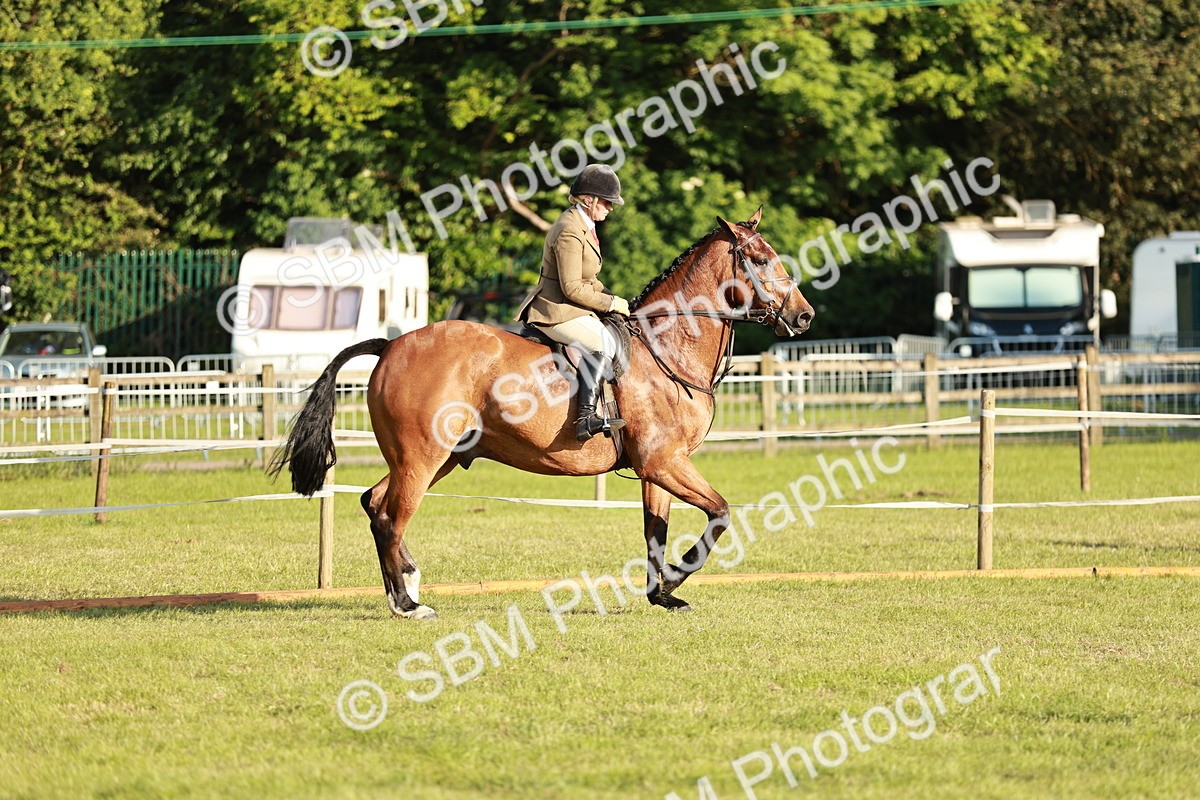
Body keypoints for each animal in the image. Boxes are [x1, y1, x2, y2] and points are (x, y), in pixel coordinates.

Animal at [271, 207, 814, 618]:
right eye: (760, 259)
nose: (804, 316)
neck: (668, 346)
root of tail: (390, 345)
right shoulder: (664, 461)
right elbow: (719, 513)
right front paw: (679, 575)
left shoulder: (657, 467)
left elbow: (654, 532)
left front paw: (662, 594)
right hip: (421, 457)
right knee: (389, 516)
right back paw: (408, 604)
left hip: (436, 457)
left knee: (375, 502)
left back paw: (408, 582)